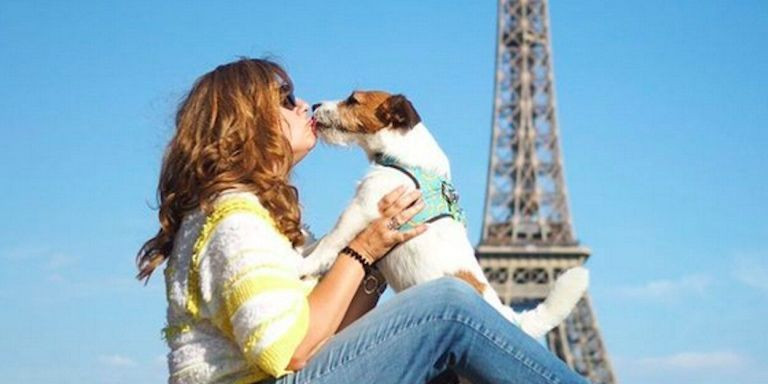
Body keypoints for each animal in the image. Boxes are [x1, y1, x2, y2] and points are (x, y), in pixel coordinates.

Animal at [300, 91, 588, 338]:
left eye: (353, 99)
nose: (315, 105)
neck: (404, 159)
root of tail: (512, 318)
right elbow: (323, 240)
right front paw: (302, 249)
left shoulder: (362, 208)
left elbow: (330, 241)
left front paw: (304, 265)